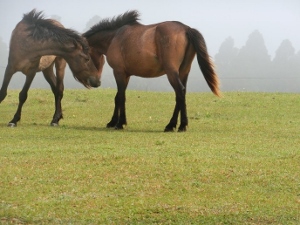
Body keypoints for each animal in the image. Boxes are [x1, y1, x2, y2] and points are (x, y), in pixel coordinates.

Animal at [83, 10, 221, 132]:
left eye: (85, 58)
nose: (94, 83)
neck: (114, 37)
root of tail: (187, 29)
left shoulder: (119, 72)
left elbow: (120, 97)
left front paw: (119, 123)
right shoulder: (126, 75)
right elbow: (118, 96)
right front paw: (113, 122)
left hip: (171, 72)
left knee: (180, 92)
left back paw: (178, 125)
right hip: (183, 71)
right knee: (181, 93)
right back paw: (174, 125)